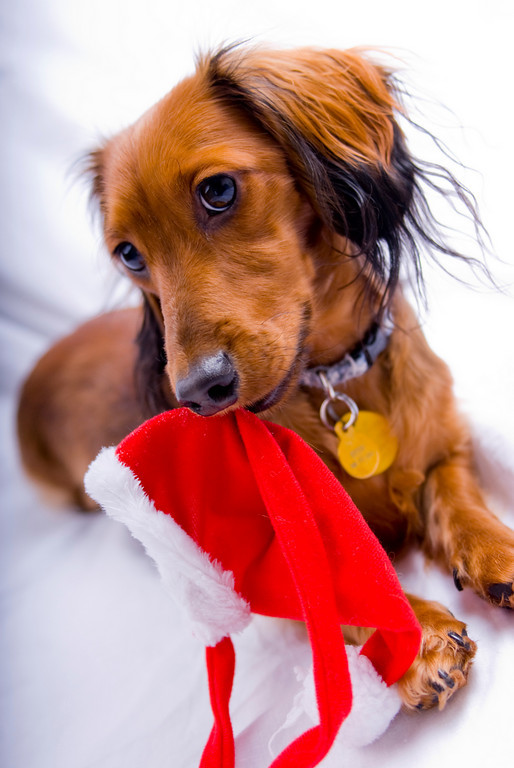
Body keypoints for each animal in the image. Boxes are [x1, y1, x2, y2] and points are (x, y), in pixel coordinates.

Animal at [16, 45, 514, 712]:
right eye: (128, 253)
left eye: (219, 190)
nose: (198, 394)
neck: (331, 384)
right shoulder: (266, 567)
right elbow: (343, 595)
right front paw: (420, 639)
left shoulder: (444, 446)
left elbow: (456, 495)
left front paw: (499, 549)